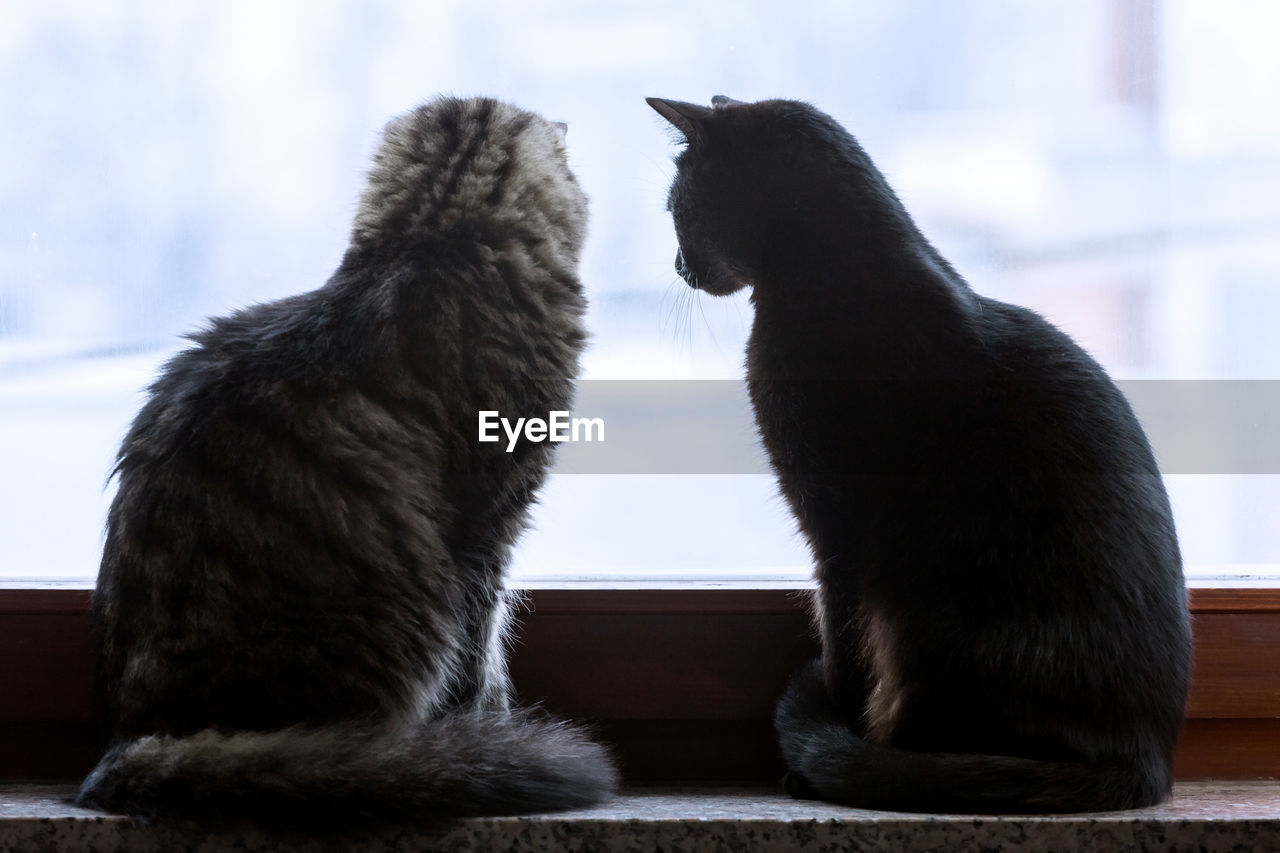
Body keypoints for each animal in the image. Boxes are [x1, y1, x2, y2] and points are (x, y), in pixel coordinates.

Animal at [650, 94, 1187, 809]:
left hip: (926, 626)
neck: (840, 278)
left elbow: (842, 647)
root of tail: (1146, 760)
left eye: (676, 210)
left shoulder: (835, 535)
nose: (678, 267)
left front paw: (823, 751)